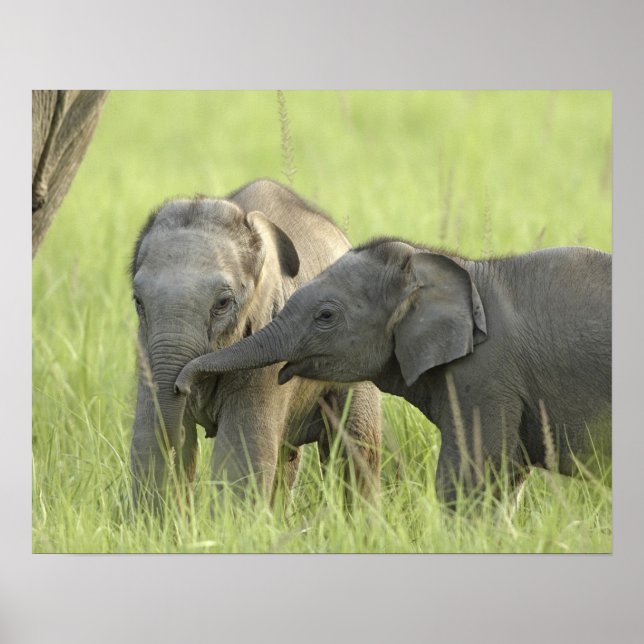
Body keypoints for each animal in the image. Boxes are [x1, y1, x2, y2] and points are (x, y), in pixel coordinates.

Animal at [130, 179, 381, 510]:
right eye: (138, 301)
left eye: (222, 303)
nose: (181, 386)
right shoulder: (145, 345)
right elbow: (147, 440)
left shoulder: (268, 344)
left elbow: (240, 457)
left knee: (355, 447)